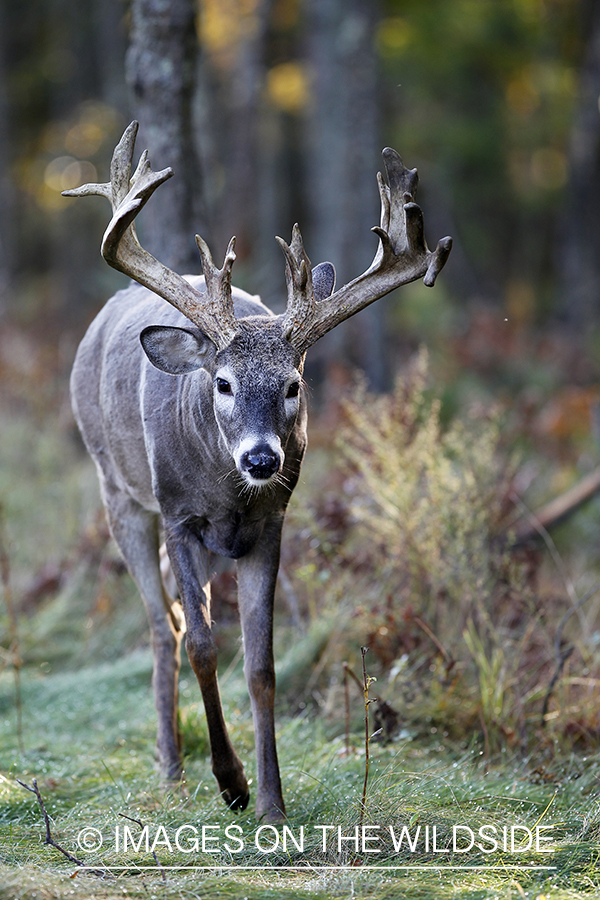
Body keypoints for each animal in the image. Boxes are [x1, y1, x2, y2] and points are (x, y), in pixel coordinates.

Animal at [64, 121, 450, 824]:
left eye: (293, 384)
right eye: (222, 383)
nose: (262, 458)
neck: (227, 494)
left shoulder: (271, 525)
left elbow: (262, 663)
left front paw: (272, 800)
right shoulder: (180, 516)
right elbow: (203, 646)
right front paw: (232, 783)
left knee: (174, 620)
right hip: (118, 492)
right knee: (163, 627)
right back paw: (171, 769)